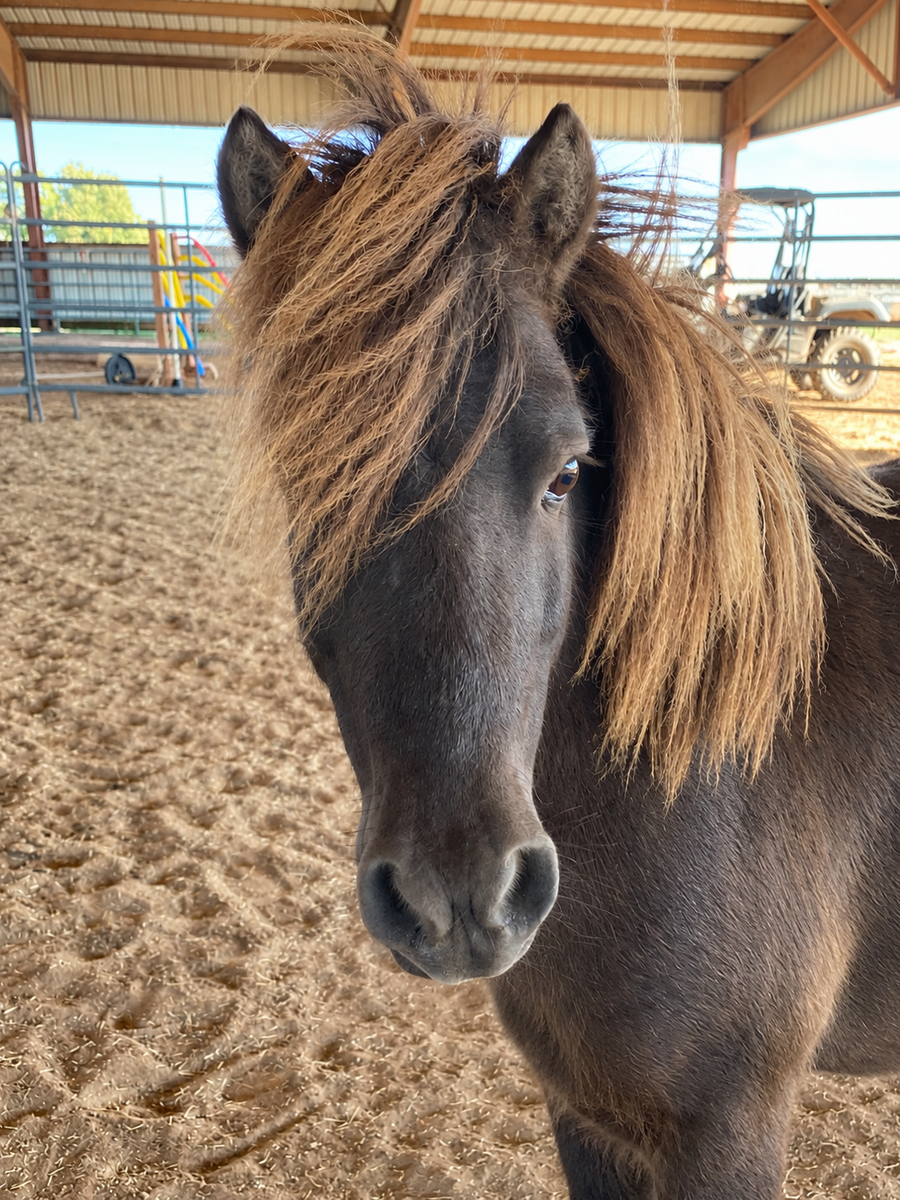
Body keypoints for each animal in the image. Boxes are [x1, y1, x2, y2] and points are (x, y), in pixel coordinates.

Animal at [216, 32, 900, 1199]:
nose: (461, 896)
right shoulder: (590, 1117)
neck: (699, 760)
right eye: (318, 483)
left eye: (567, 472)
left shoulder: (728, 1131)